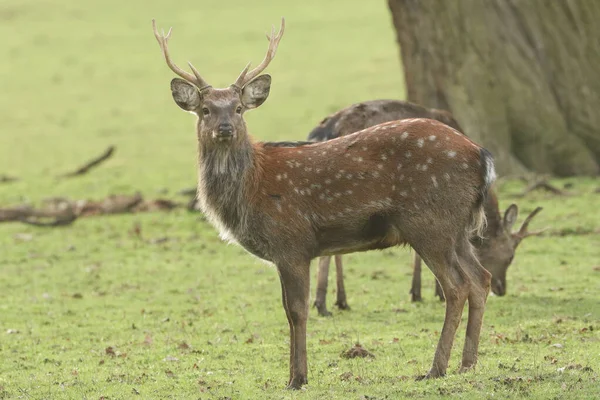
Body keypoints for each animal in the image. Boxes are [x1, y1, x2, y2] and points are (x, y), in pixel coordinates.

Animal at [154, 17, 496, 390]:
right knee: (481, 278)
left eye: (239, 107)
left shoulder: (292, 242)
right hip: (457, 229)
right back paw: (467, 364)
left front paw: (298, 377)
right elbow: (289, 310)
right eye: (205, 110)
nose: (226, 128)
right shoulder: (286, 252)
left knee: (457, 286)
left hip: (430, 223)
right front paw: (294, 375)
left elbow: (297, 310)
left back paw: (436, 368)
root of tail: (481, 157)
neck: (252, 190)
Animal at [304, 99, 544, 312]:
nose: (501, 289)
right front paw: (431, 293)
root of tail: (324, 130)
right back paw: (322, 304)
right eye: (510, 256)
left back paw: (340, 301)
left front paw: (418, 292)